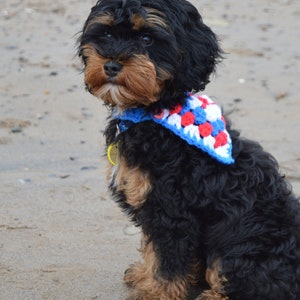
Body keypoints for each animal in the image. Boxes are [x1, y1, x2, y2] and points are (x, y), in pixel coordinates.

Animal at [78, 0, 300, 298]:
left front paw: (156, 293)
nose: (111, 65)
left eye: (147, 39)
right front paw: (145, 278)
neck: (153, 112)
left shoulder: (171, 210)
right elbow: (154, 250)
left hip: (243, 245)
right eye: (108, 34)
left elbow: (168, 261)